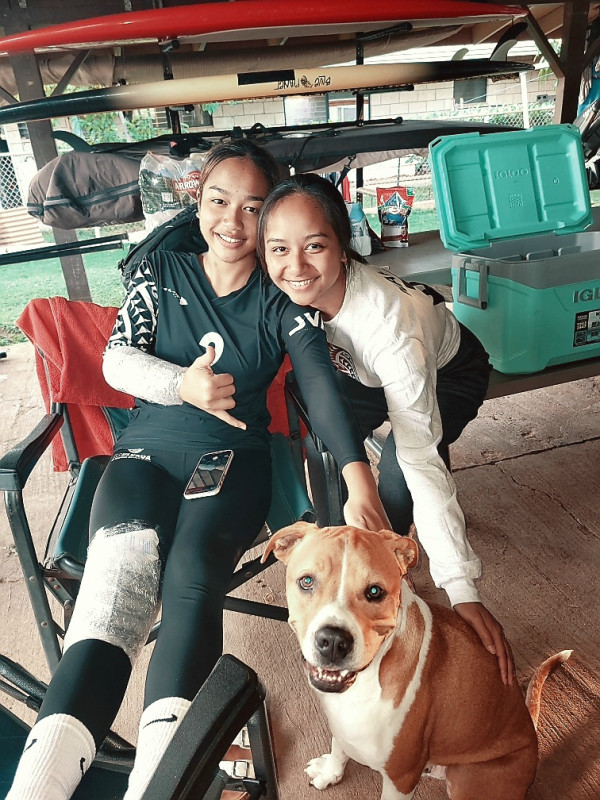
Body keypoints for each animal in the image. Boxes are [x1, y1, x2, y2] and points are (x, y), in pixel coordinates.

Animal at [264, 520, 572, 800]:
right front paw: (330, 772)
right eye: (306, 581)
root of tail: (531, 736)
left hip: (468, 780)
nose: (333, 642)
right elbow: (339, 745)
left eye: (374, 592)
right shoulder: (340, 723)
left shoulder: (400, 779)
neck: (369, 679)